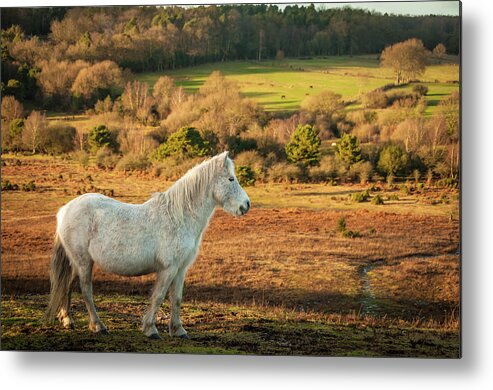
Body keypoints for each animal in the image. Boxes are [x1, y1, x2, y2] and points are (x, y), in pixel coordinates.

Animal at [45, 151, 250, 340]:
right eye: (231, 178)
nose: (246, 205)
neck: (179, 217)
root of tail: (65, 209)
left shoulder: (181, 269)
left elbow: (176, 298)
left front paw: (178, 330)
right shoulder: (168, 269)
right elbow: (158, 296)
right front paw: (151, 329)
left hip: (75, 262)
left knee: (67, 285)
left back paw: (67, 320)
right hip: (83, 262)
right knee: (86, 290)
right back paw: (98, 326)